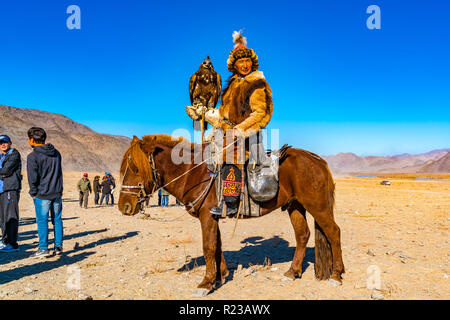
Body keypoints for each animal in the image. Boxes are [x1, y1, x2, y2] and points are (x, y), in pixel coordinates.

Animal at [117, 134, 344, 294]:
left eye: (135, 168)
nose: (124, 207)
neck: (194, 173)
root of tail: (317, 160)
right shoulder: (213, 216)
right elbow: (217, 246)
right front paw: (221, 275)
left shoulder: (207, 216)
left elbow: (208, 247)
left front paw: (206, 283)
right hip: (295, 205)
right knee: (302, 235)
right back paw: (291, 272)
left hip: (317, 206)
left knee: (333, 232)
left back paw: (336, 275)